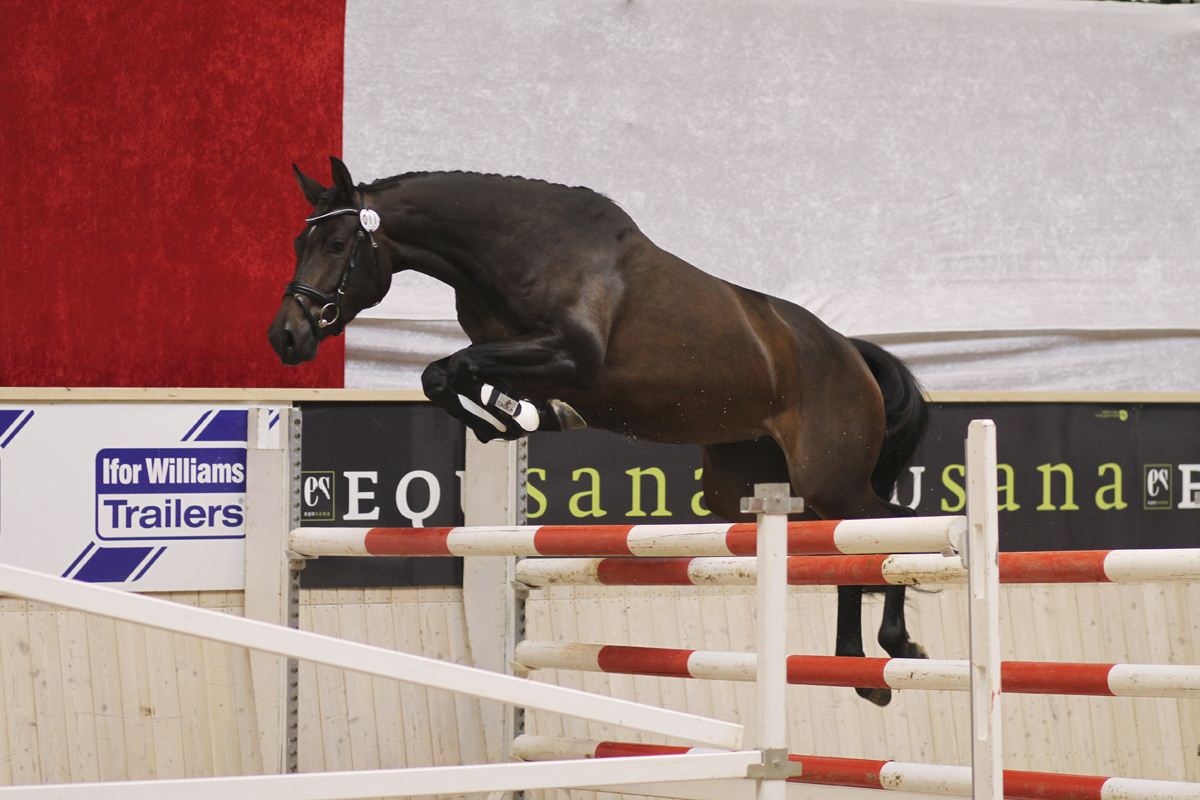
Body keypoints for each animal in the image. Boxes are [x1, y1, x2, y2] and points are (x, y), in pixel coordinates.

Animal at [269, 156, 930, 706]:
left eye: (336, 242)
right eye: (299, 241)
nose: (286, 337)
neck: (514, 249)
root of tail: (850, 352)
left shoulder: (570, 355)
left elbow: (450, 368)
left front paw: (521, 415)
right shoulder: (508, 354)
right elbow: (446, 376)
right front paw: (515, 417)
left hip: (829, 478)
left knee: (889, 527)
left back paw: (898, 647)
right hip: (751, 487)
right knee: (846, 550)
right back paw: (857, 668)